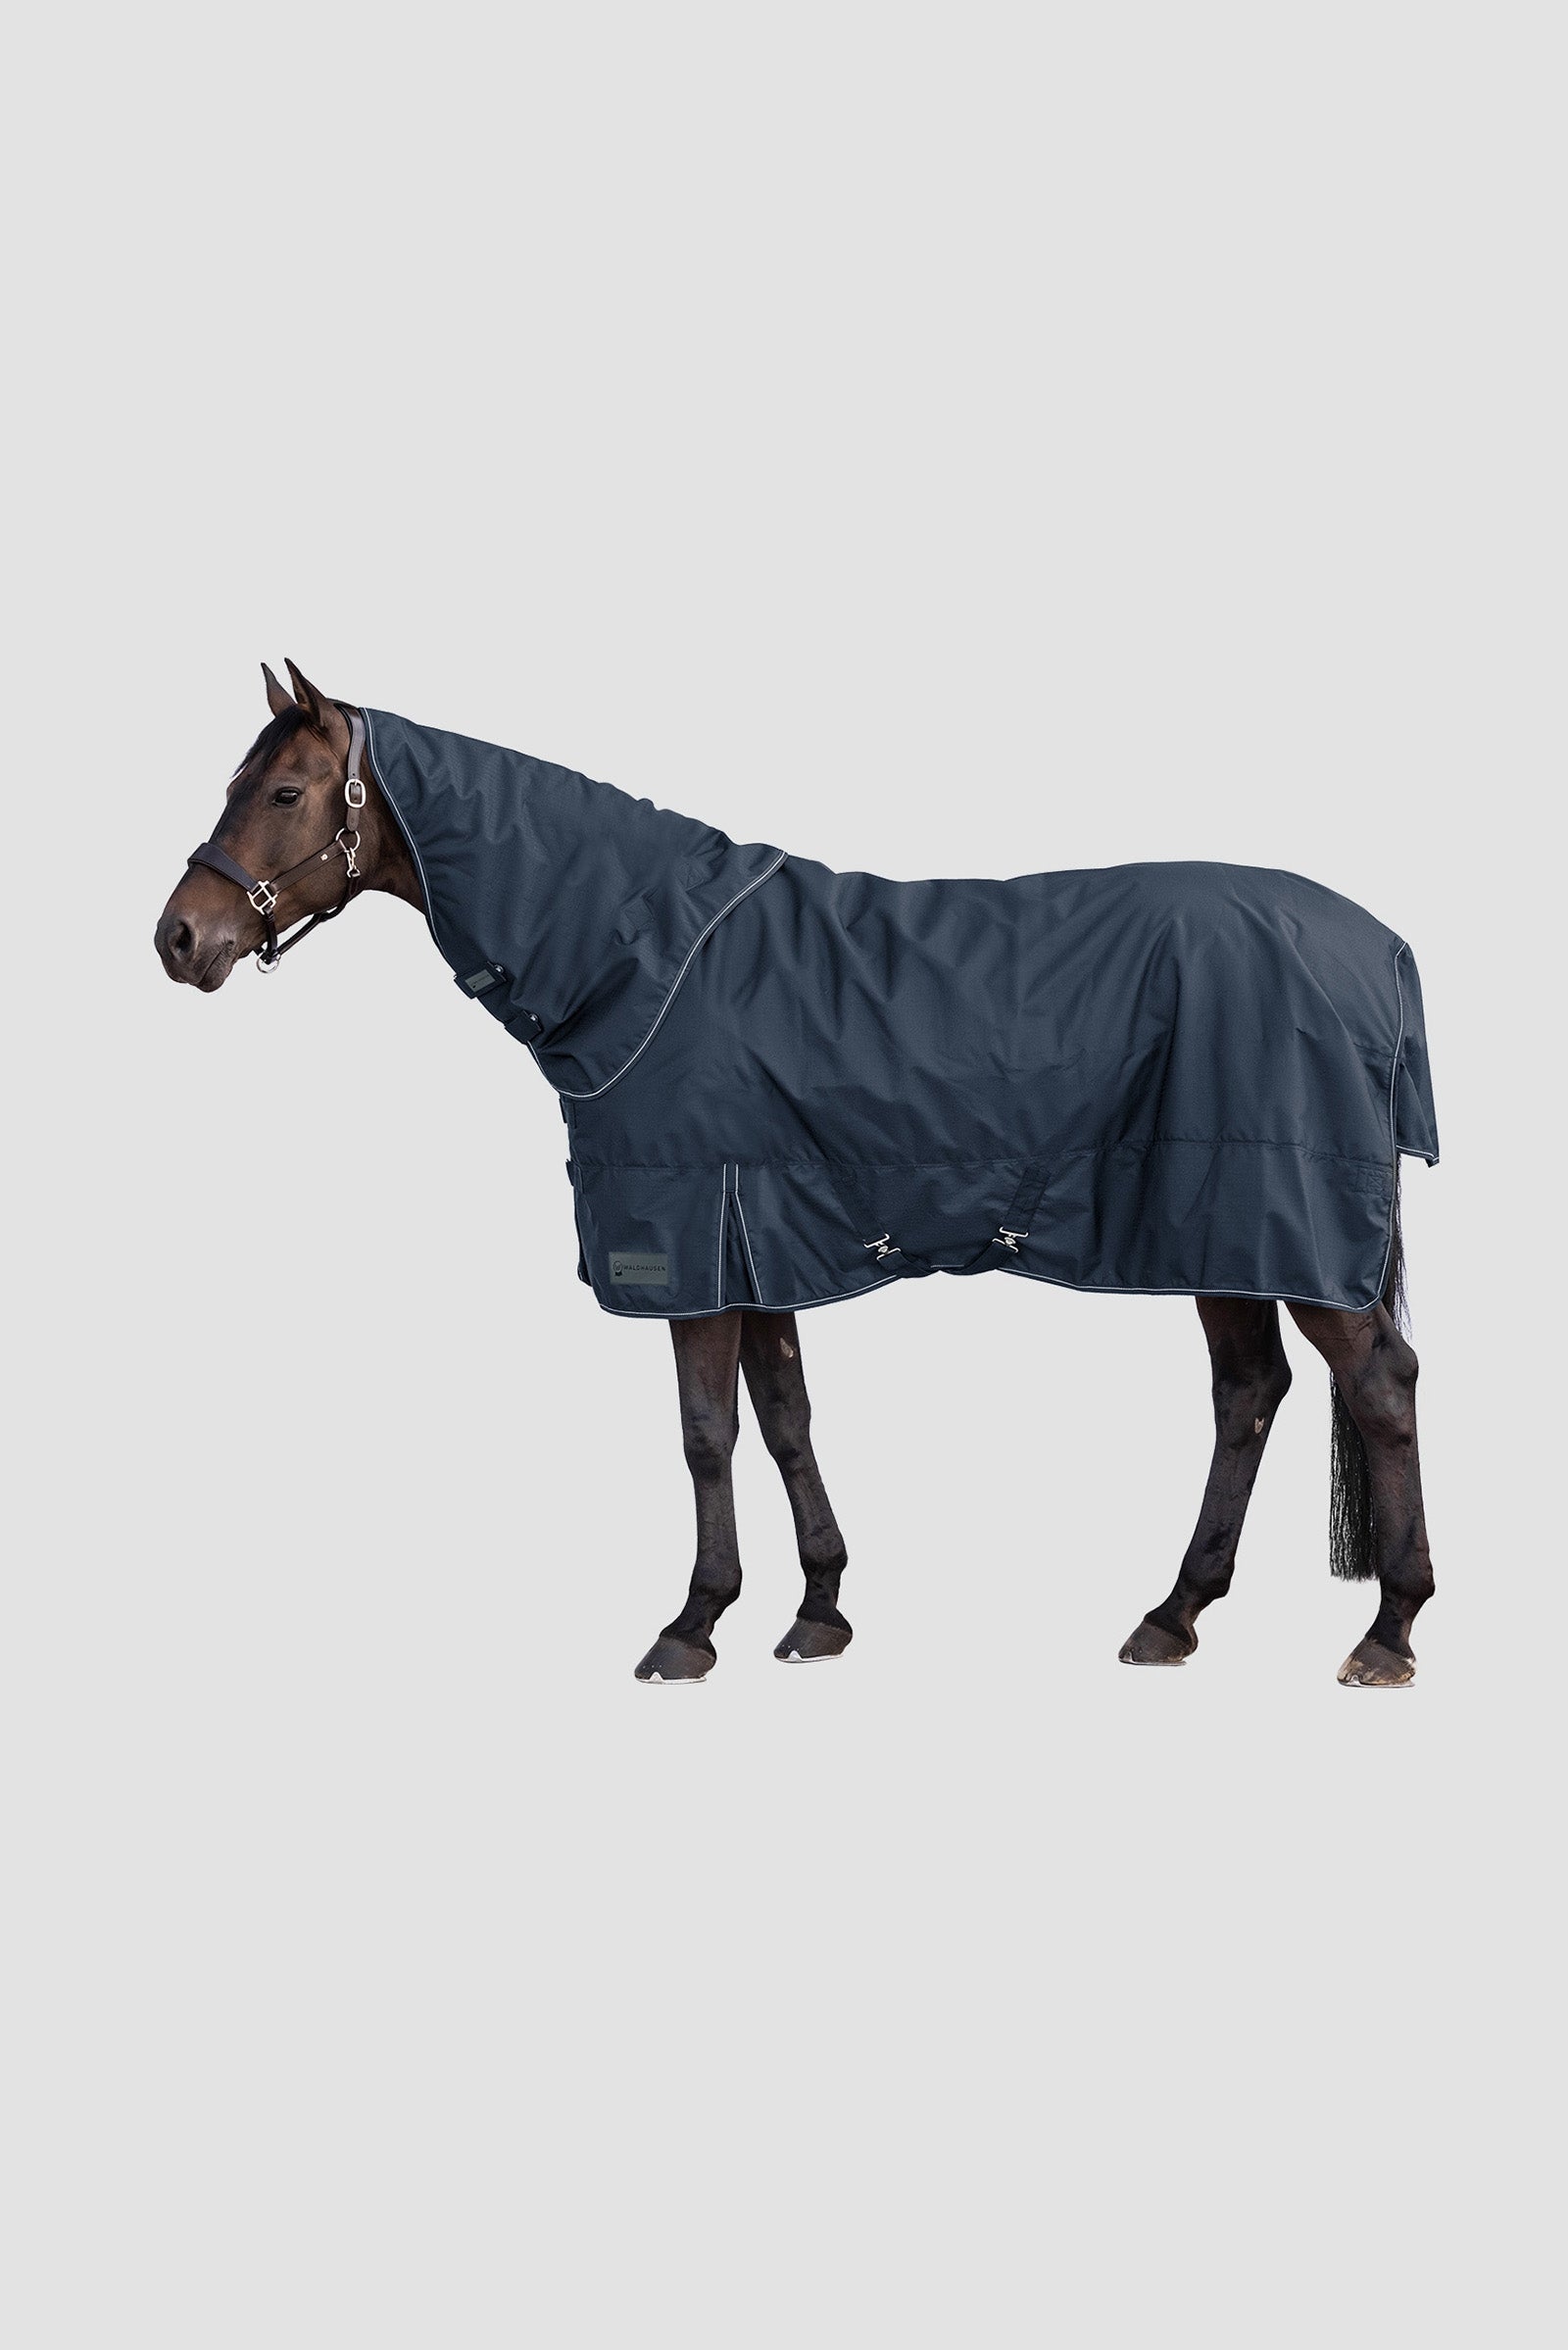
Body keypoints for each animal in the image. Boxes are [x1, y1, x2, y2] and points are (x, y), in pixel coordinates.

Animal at [155, 663, 1437, 1688]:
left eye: (282, 793)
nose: (178, 938)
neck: (639, 954)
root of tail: (1377, 946)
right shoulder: (758, 1237)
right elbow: (782, 1420)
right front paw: (818, 1609)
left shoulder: (691, 1240)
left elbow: (705, 1433)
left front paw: (690, 1626)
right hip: (1222, 1227)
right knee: (1248, 1394)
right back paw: (1172, 1616)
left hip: (1280, 1224)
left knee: (1377, 1386)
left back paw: (1386, 1633)